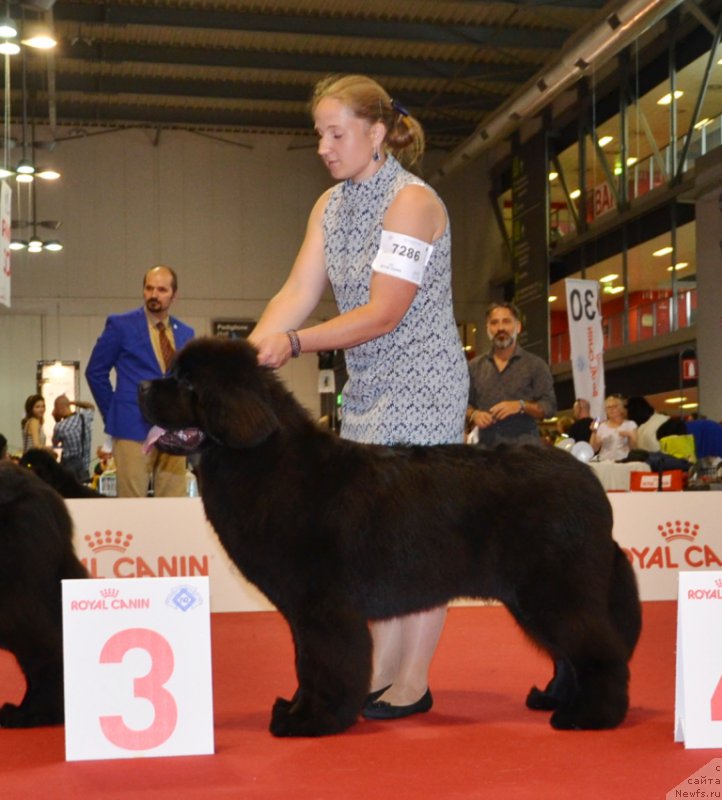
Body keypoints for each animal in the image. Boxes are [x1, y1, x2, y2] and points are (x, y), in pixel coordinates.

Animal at [138, 338, 640, 736]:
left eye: (185, 382)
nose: (141, 387)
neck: (263, 460)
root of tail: (591, 481)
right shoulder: (303, 613)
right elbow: (306, 664)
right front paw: (297, 709)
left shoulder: (323, 607)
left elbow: (326, 664)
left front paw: (311, 721)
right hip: (536, 597)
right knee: (569, 654)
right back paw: (555, 699)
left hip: (554, 591)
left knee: (599, 650)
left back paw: (591, 715)